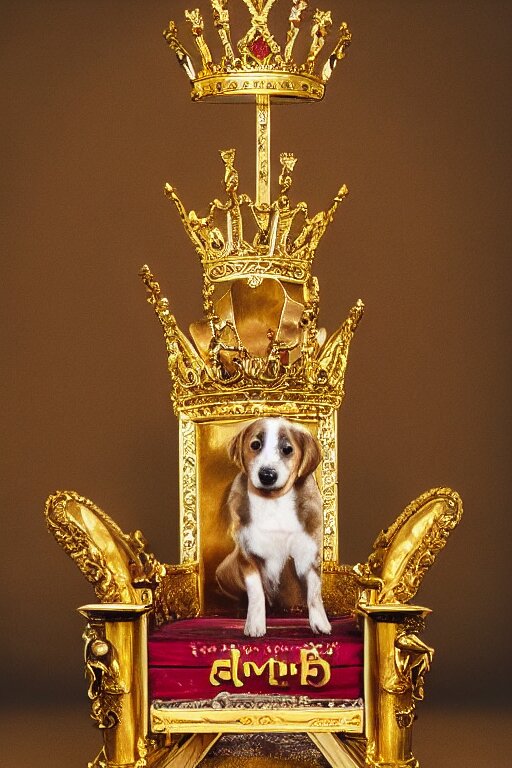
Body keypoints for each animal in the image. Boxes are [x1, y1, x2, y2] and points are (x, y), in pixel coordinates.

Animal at [215, 416, 332, 640]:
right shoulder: (247, 555)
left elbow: (314, 591)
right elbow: (256, 592)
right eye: (255, 445)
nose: (267, 475)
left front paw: (320, 623)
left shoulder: (308, 552)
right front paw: (255, 625)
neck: (273, 502)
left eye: (287, 449)